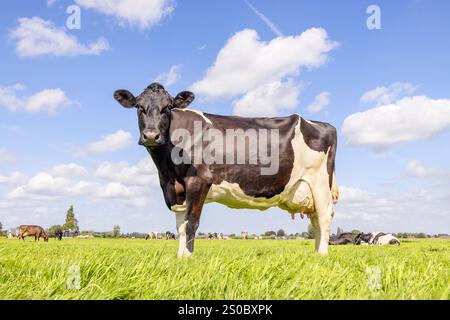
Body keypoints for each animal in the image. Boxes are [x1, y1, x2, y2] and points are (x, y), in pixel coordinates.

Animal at [114, 83, 340, 258]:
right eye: (139, 107)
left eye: (168, 107)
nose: (151, 135)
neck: (167, 170)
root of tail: (322, 124)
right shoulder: (175, 190)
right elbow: (180, 227)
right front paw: (179, 258)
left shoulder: (199, 181)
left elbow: (191, 223)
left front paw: (187, 258)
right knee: (316, 221)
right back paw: (315, 253)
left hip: (320, 181)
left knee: (324, 216)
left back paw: (322, 255)